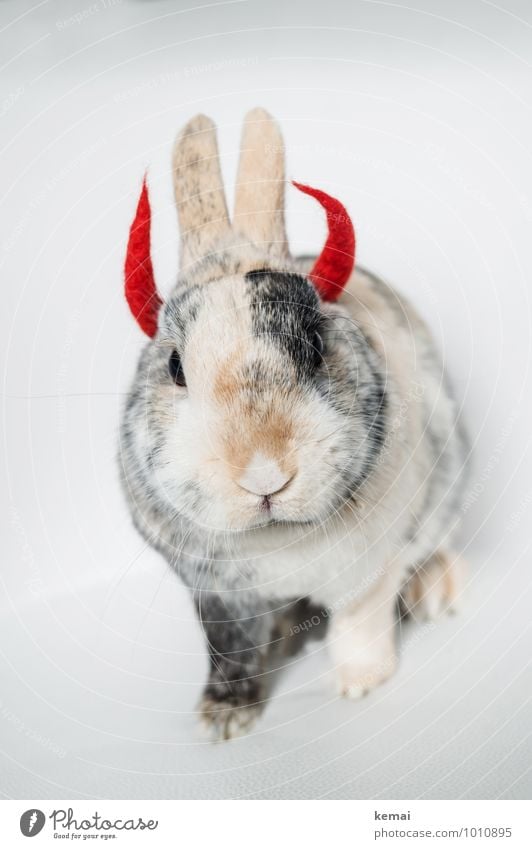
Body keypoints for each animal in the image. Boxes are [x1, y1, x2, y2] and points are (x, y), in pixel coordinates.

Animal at [120, 109, 470, 740]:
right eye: (175, 366)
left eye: (315, 346)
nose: (263, 475)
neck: (277, 538)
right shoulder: (217, 596)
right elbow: (229, 650)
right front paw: (222, 720)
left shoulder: (369, 572)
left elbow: (359, 623)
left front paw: (361, 684)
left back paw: (436, 589)